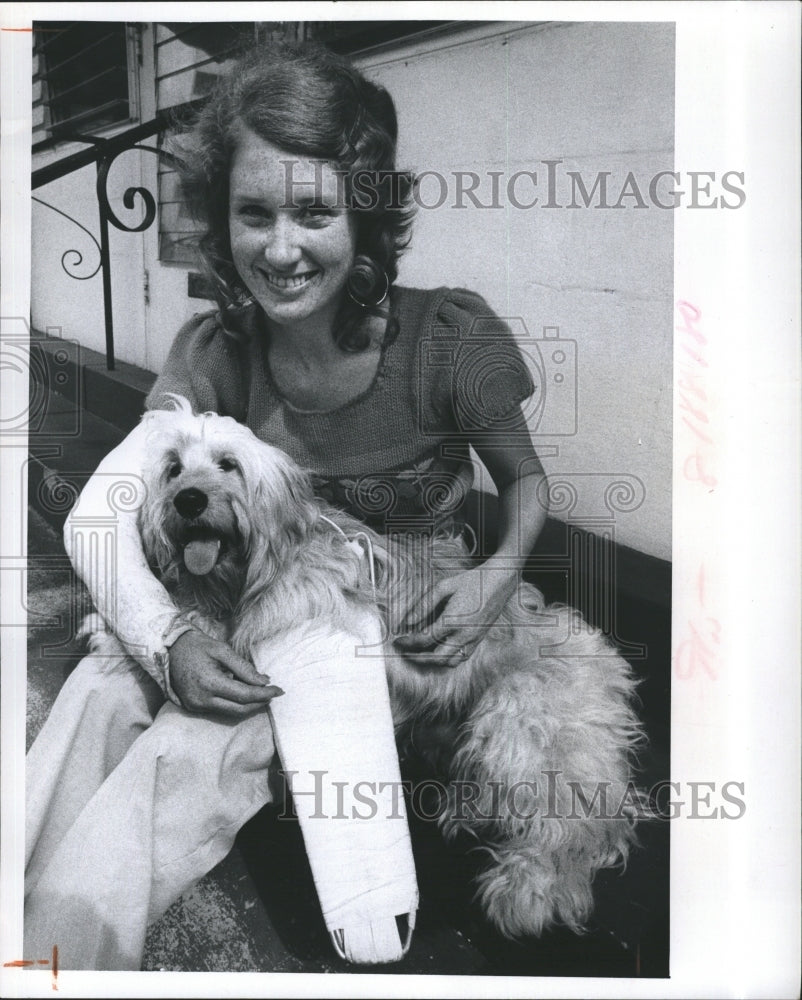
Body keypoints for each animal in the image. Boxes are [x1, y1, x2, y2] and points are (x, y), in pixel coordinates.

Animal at [86, 400, 644, 944]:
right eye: (173, 469)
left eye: (228, 464)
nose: (188, 501)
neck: (256, 568)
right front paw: (131, 634)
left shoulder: (283, 621)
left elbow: (219, 631)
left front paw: (132, 634)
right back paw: (468, 809)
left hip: (519, 727)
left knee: (574, 828)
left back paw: (529, 886)